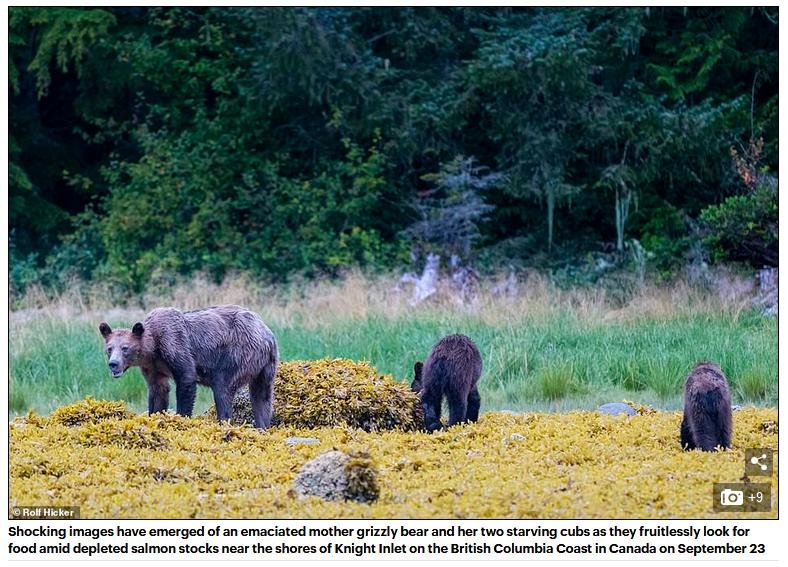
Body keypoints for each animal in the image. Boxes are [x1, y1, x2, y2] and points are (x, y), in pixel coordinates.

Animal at [99, 305, 278, 429]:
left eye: (125, 348)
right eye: (109, 348)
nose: (113, 364)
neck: (153, 349)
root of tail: (267, 335)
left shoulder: (174, 344)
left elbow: (186, 378)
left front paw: (181, 417)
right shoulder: (153, 367)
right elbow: (158, 390)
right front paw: (155, 415)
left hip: (236, 354)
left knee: (223, 388)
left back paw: (223, 422)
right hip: (265, 367)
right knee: (262, 397)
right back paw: (263, 425)